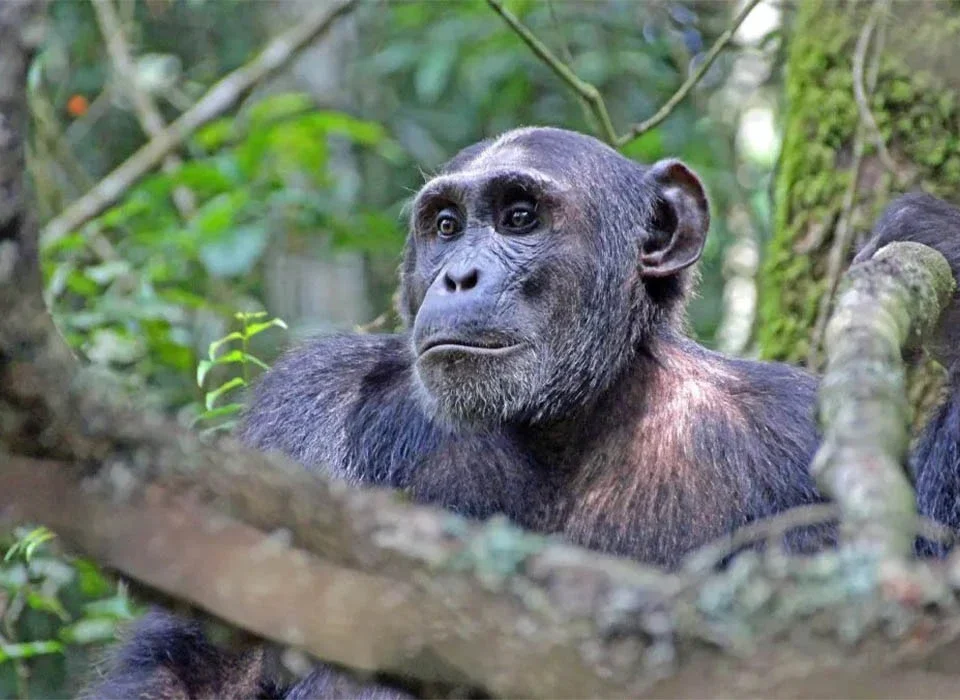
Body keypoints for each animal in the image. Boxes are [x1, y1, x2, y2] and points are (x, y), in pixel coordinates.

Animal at [90, 127, 960, 698]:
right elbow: (214, 658)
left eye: (518, 217)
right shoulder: (303, 414)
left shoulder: (796, 435)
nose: (458, 275)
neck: (565, 417)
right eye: (445, 226)